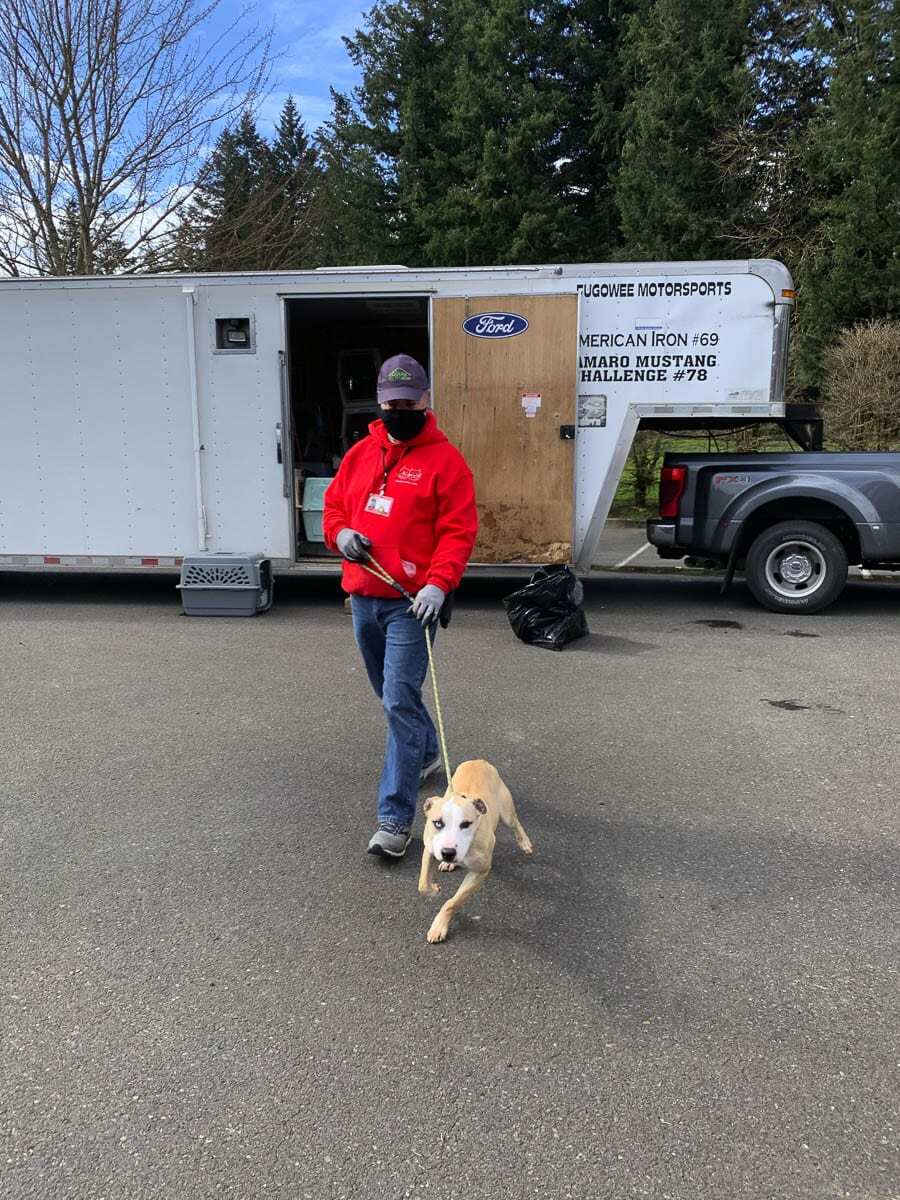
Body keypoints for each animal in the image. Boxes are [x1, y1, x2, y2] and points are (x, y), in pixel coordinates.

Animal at [417, 763, 532, 940]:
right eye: (437, 823)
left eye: (466, 824)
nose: (448, 852)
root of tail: (479, 761)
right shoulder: (430, 848)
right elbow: (422, 884)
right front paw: (434, 890)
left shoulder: (480, 872)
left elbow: (453, 902)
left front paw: (439, 924)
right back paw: (448, 864)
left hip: (506, 812)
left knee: (515, 822)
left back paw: (524, 842)